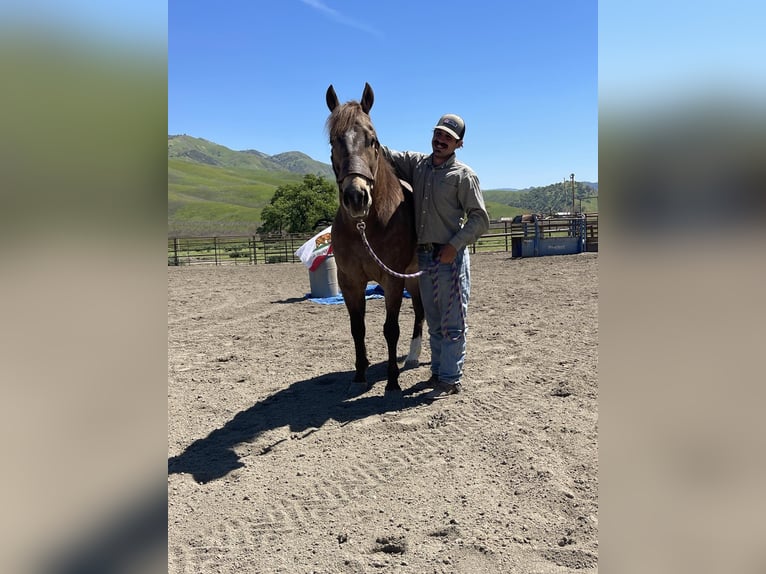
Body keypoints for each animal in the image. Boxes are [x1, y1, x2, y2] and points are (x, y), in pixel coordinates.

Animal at [328, 82, 428, 396]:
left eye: (373, 140)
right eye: (333, 142)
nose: (356, 197)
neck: (366, 225)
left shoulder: (392, 281)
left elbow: (390, 329)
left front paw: (392, 381)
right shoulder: (350, 282)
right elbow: (357, 328)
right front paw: (359, 374)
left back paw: (413, 357)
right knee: (420, 309)